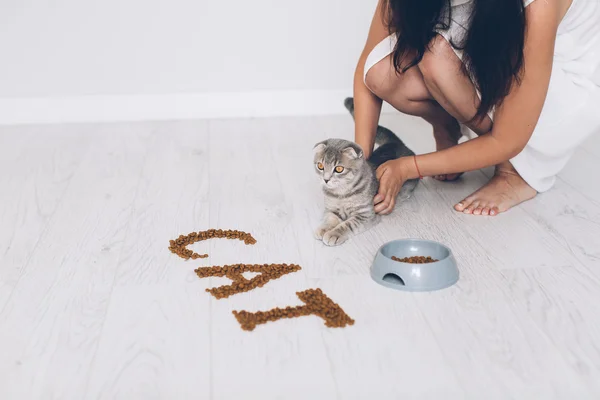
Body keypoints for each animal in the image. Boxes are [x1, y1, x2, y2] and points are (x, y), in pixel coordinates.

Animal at [312, 97, 420, 247]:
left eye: (339, 169)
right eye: (320, 166)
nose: (326, 179)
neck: (341, 194)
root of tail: (395, 143)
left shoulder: (365, 215)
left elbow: (347, 225)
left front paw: (334, 234)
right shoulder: (331, 209)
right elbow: (330, 219)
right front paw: (323, 229)